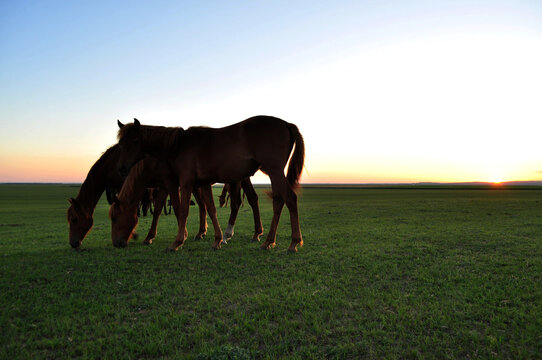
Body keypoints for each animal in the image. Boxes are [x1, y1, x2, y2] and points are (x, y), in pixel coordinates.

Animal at [116, 114, 304, 250]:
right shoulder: (204, 184)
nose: (122, 168)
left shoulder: (185, 183)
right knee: (278, 201)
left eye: (134, 141)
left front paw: (178, 242)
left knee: (290, 198)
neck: (179, 145)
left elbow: (183, 210)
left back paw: (294, 242)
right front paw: (217, 239)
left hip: (274, 171)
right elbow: (211, 209)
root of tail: (286, 124)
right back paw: (268, 241)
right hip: (272, 173)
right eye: (120, 143)